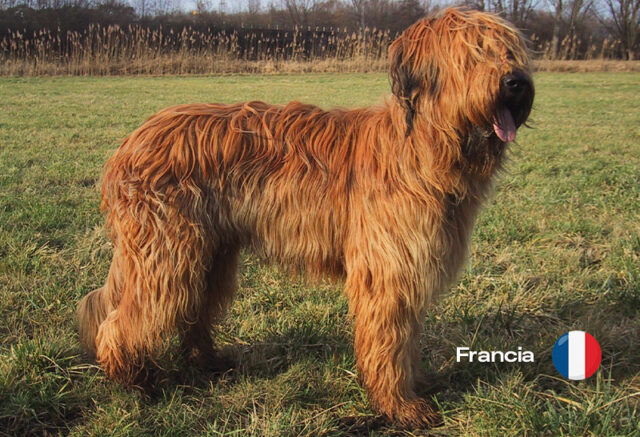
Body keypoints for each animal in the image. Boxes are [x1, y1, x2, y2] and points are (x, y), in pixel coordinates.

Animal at [77, 7, 532, 426]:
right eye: (472, 54)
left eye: (509, 49)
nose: (516, 82)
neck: (423, 149)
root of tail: (130, 143)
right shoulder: (388, 271)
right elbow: (389, 342)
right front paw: (399, 406)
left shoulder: (406, 269)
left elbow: (407, 338)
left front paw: (414, 386)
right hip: (167, 252)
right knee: (128, 319)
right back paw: (135, 380)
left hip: (209, 253)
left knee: (194, 310)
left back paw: (207, 362)